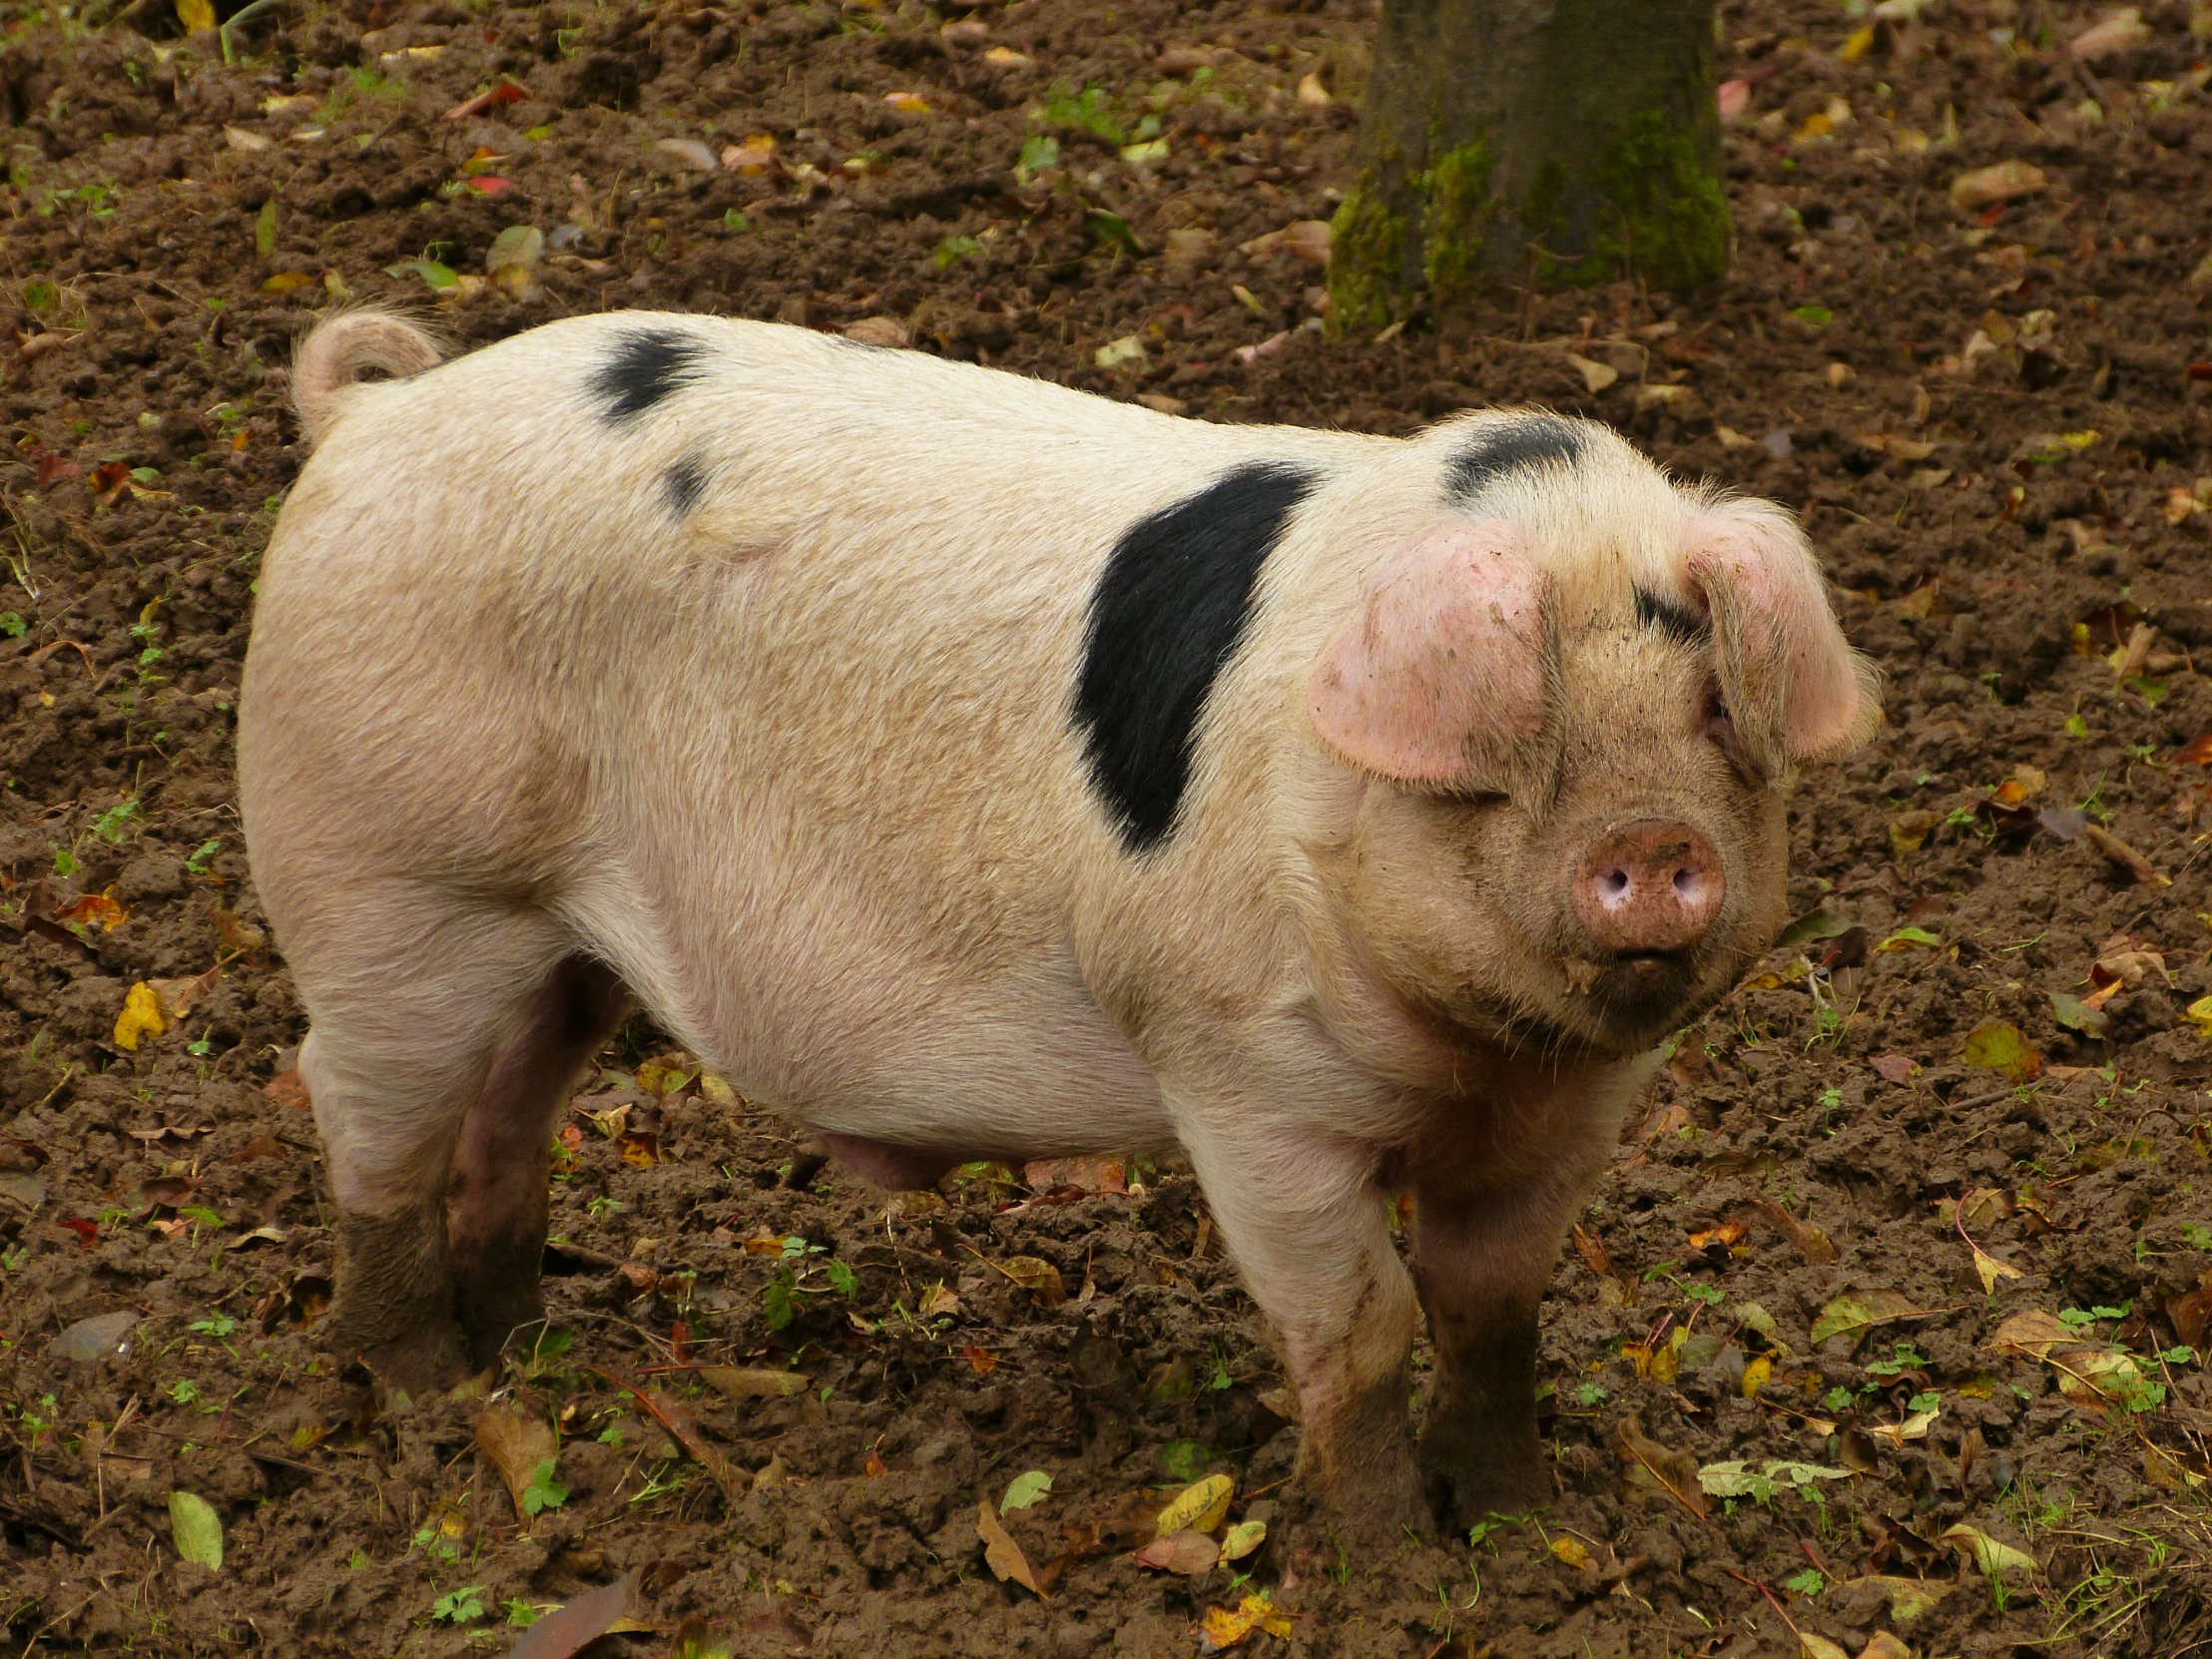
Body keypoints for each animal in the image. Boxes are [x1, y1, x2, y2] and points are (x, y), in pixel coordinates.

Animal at [238, 313, 1867, 1548]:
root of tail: (372, 415)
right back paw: (424, 1386)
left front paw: (1530, 1539)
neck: (1481, 1064)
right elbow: (1363, 1330)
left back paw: (524, 1344)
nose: (1651, 843)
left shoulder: (1578, 1109)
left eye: (1712, 705)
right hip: (391, 873)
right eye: (1522, 726)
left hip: (554, 936)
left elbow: (1494, 1310)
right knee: (362, 1104)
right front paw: (1401, 1575)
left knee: (507, 1107)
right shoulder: (1238, 1075)